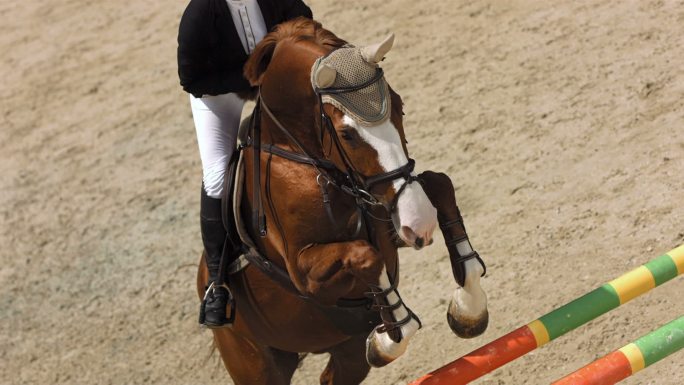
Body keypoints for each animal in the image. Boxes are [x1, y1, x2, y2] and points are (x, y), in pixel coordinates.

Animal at [195, 18, 488, 384]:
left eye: (400, 106)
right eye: (347, 134)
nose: (420, 224)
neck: (306, 161)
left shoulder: (389, 213)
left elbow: (440, 185)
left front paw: (468, 309)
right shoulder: (306, 275)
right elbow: (365, 256)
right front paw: (388, 336)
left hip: (346, 353)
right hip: (254, 362)